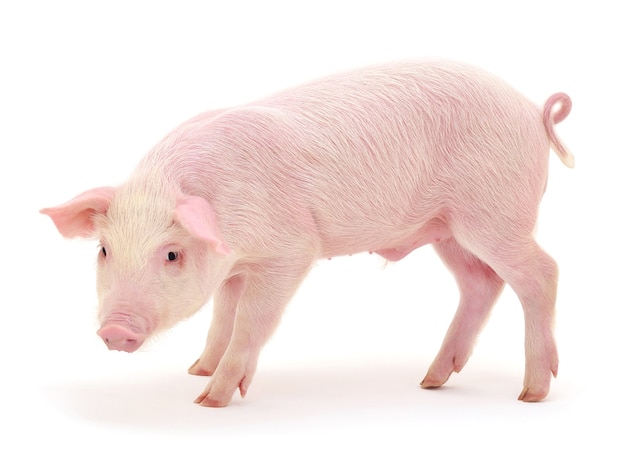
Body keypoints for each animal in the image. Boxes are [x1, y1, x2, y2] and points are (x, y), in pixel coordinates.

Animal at [41, 60, 572, 406]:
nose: (114, 330)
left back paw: (531, 393)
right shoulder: (236, 266)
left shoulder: (289, 251)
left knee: (541, 272)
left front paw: (208, 398)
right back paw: (431, 381)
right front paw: (197, 368)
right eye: (103, 250)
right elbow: (222, 315)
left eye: (171, 254)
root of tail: (532, 111)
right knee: (481, 283)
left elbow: (251, 321)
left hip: (493, 211)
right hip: (447, 229)